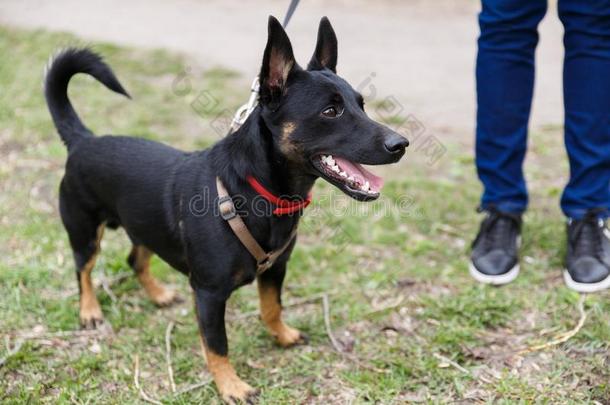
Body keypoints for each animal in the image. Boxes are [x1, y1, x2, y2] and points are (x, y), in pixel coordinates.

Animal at [45, 15, 406, 400]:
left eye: (361, 105)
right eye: (330, 111)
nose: (401, 144)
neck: (254, 191)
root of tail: (83, 140)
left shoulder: (276, 270)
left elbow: (272, 308)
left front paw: (281, 336)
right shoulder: (209, 294)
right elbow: (217, 345)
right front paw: (231, 385)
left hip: (144, 226)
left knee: (135, 259)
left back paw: (157, 294)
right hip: (84, 231)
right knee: (83, 270)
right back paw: (90, 310)